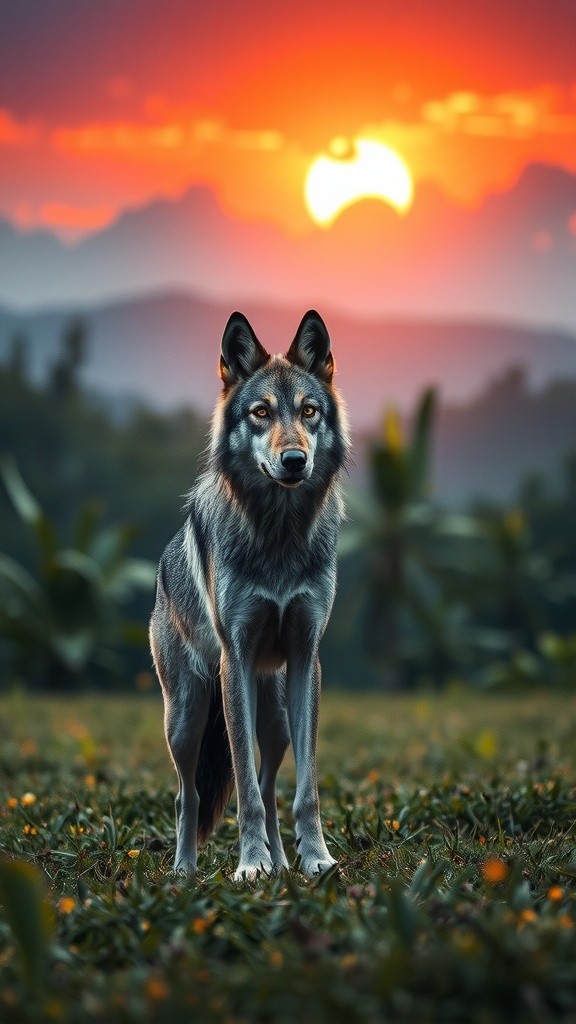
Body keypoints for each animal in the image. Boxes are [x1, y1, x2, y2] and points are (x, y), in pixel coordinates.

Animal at [149, 309, 349, 880]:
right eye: (261, 413)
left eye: (308, 411)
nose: (294, 460)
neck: (279, 538)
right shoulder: (234, 660)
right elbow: (242, 792)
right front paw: (250, 866)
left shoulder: (307, 657)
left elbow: (304, 790)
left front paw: (316, 858)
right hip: (187, 717)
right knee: (189, 796)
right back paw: (185, 871)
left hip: (276, 717)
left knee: (269, 782)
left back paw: (284, 862)